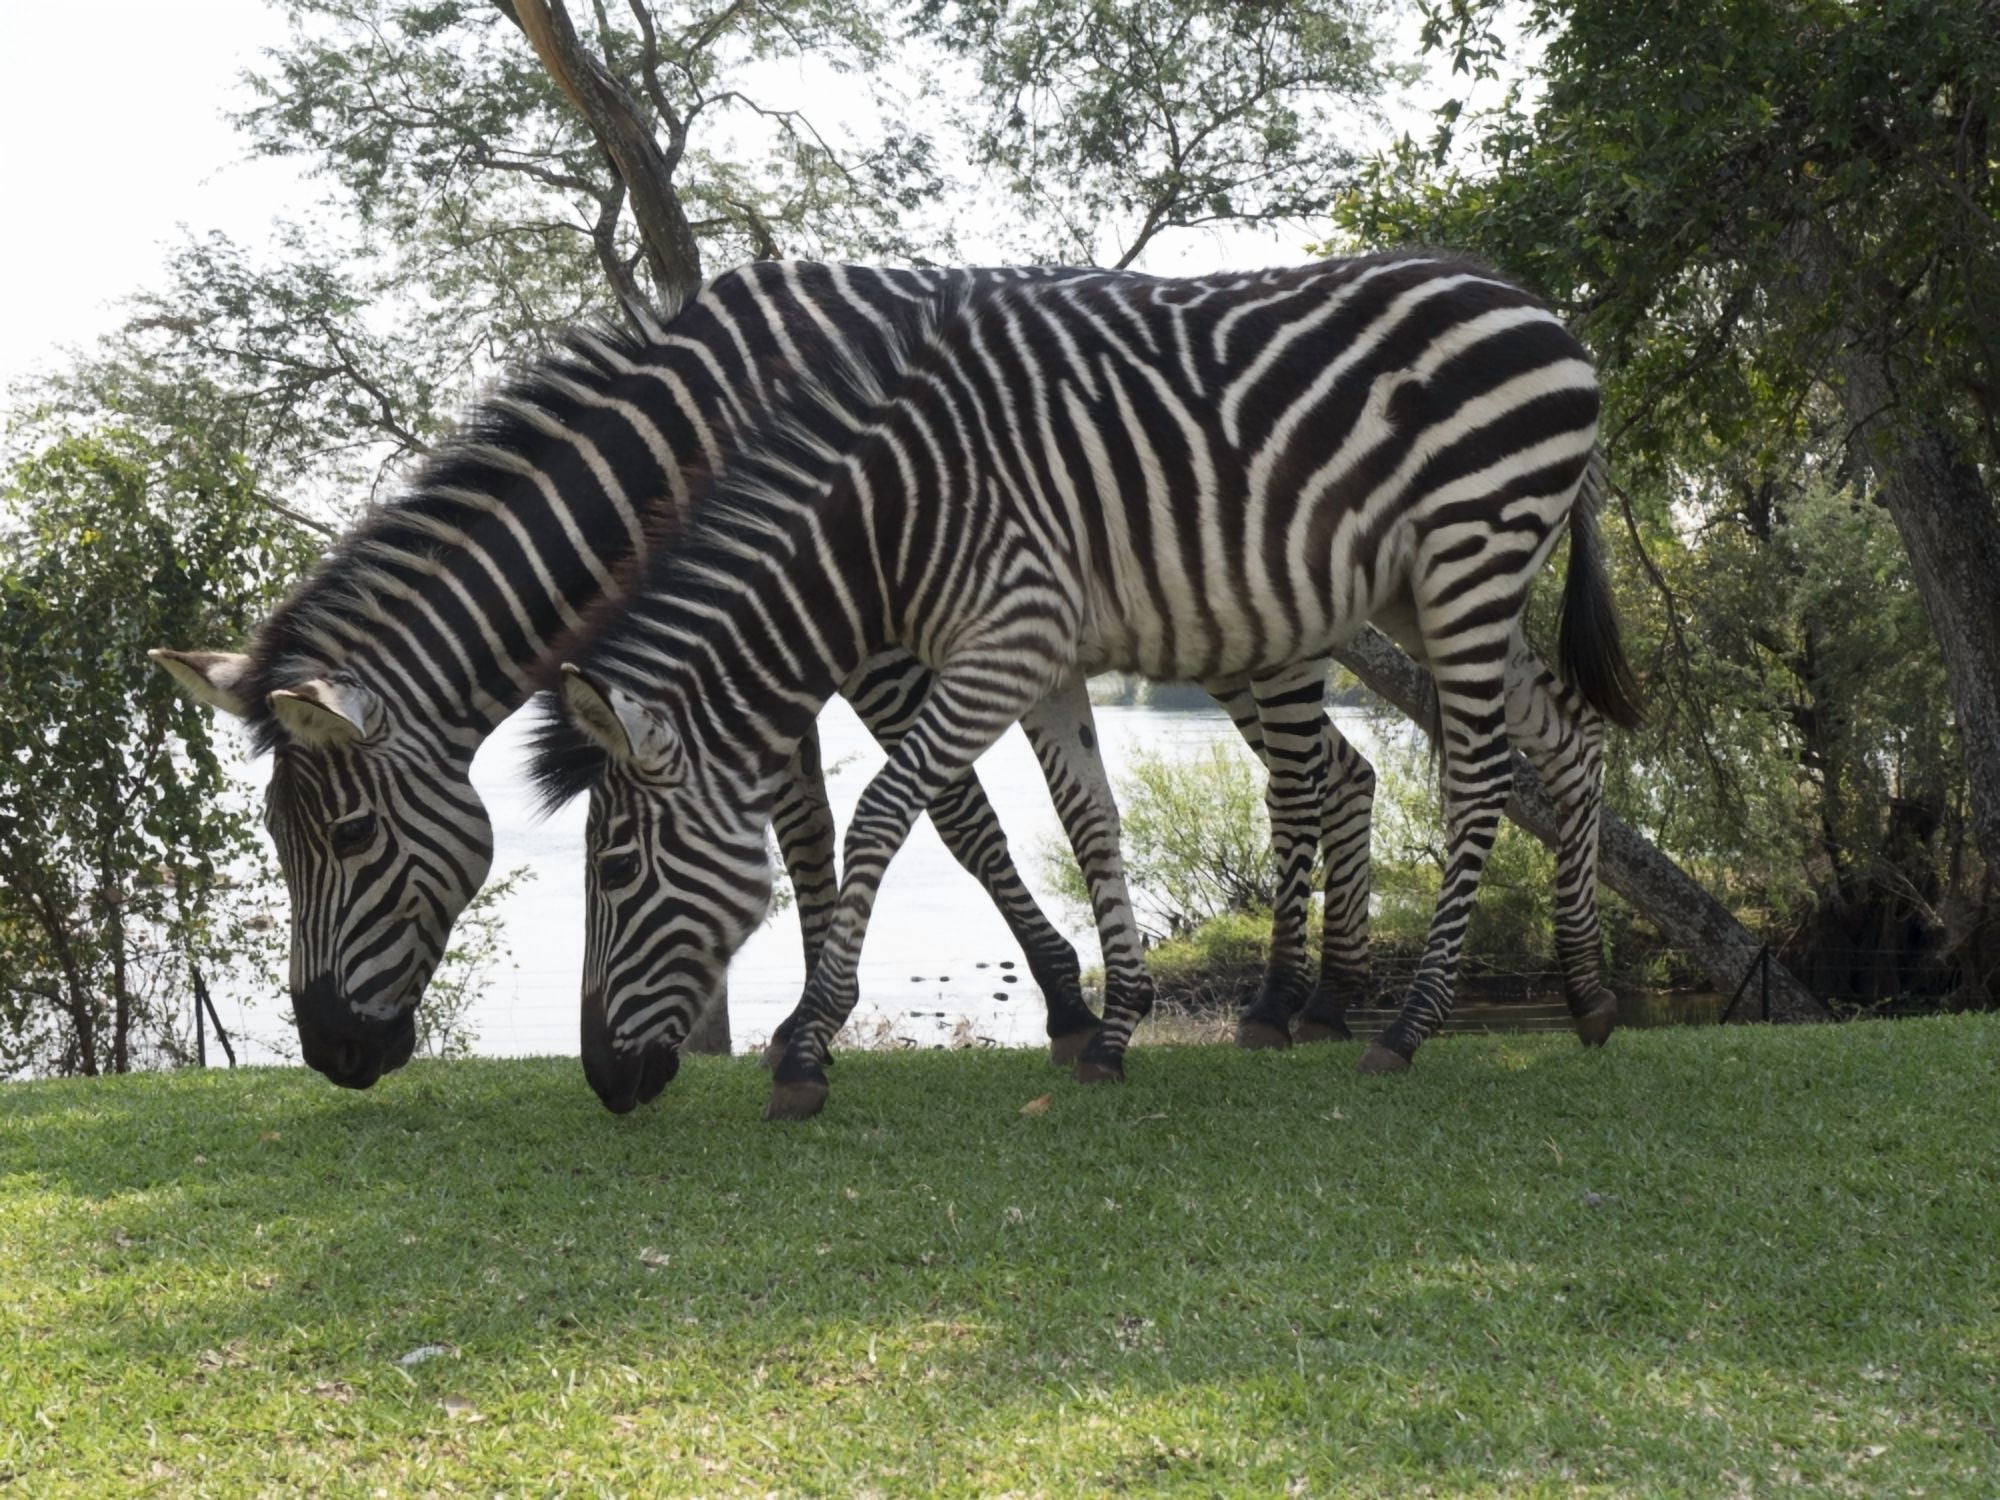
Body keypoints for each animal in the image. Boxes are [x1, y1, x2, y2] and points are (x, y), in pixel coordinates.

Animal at [530, 252, 1642, 1121]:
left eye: (615, 870)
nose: (602, 1084)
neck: (891, 520)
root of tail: (1541, 308)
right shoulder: (1047, 663)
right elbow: (1089, 820)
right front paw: (1112, 1033)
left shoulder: (1005, 644)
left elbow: (884, 812)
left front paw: (806, 1049)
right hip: (1435, 587)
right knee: (1572, 739)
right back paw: (1589, 997)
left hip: (1470, 554)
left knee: (1483, 776)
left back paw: (1409, 1025)